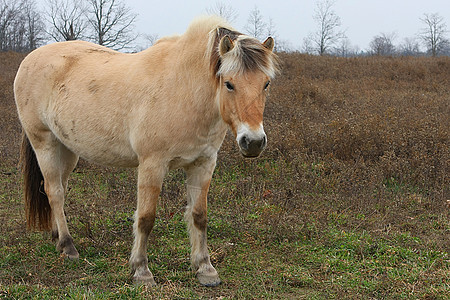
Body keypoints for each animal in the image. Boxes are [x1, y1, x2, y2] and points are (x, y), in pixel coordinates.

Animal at [14, 15, 280, 286]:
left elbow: (199, 215)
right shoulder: (153, 164)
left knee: (58, 188)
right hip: (44, 143)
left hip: (67, 149)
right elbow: (145, 218)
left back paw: (57, 237)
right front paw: (141, 271)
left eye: (266, 84)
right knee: (54, 191)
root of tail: (30, 58)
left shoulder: (204, 163)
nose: (253, 141)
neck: (183, 89)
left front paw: (205, 269)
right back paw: (68, 246)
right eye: (229, 84)